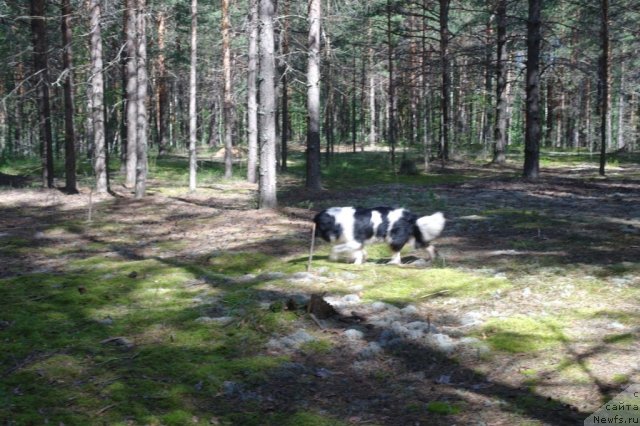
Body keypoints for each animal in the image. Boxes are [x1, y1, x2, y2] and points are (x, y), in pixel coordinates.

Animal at [314, 207, 444, 264]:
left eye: (318, 225)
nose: (314, 234)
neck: (337, 220)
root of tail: (410, 215)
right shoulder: (357, 244)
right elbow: (359, 253)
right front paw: (358, 262)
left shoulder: (355, 242)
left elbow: (335, 248)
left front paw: (333, 258)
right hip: (413, 238)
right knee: (428, 246)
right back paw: (432, 258)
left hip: (393, 238)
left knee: (397, 254)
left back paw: (392, 263)